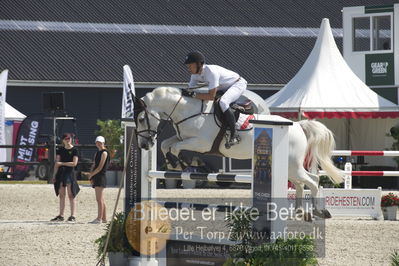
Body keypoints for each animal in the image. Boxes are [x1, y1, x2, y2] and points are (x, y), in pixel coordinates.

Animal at [134, 87, 344, 218]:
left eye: (142, 118)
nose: (144, 144)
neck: (189, 112)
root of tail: (297, 126)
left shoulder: (201, 143)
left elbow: (176, 148)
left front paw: (180, 162)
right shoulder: (181, 137)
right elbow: (166, 144)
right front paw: (174, 162)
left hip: (293, 165)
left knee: (313, 181)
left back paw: (318, 211)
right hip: (290, 167)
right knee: (302, 183)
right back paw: (299, 211)